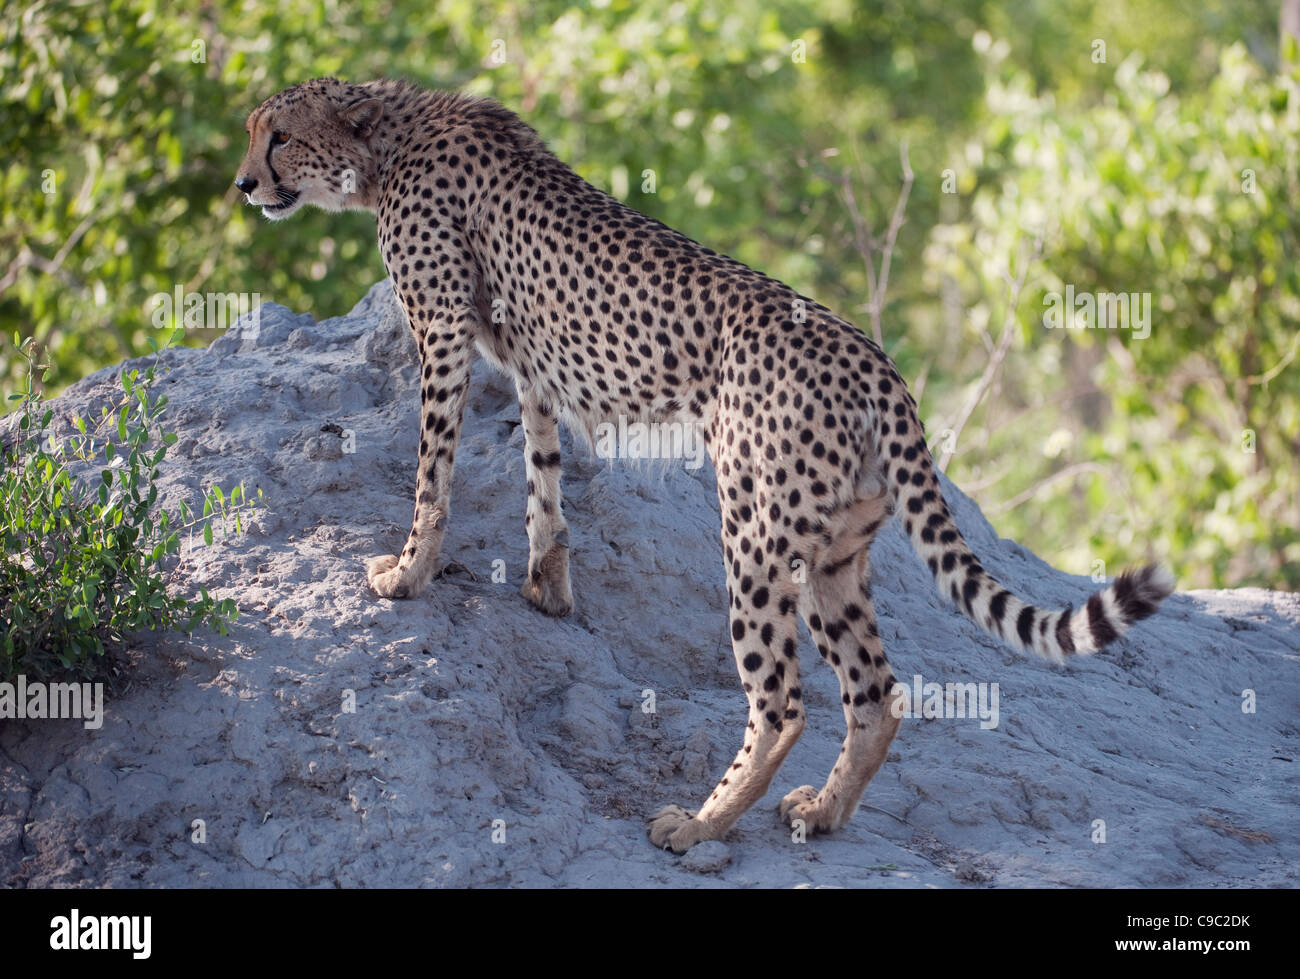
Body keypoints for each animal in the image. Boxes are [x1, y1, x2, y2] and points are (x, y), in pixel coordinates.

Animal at [236, 80, 1180, 852]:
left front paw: (407, 572)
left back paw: (699, 822)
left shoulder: (442, 334)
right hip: (834, 551)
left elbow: (433, 469)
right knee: (875, 690)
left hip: (755, 532)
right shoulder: (532, 362)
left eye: (278, 136)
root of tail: (877, 361)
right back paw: (822, 813)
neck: (389, 137)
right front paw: (546, 585)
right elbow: (542, 473)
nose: (244, 184)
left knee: (784, 699)